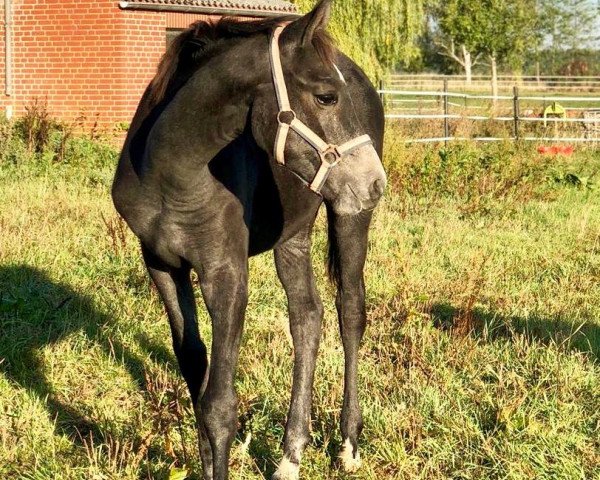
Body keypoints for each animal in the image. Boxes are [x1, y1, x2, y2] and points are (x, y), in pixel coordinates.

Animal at [110, 1, 386, 478]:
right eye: (326, 96)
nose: (375, 182)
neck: (170, 173)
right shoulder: (162, 265)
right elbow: (194, 366)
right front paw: (206, 462)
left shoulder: (226, 275)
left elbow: (220, 403)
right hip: (293, 235)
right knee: (307, 317)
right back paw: (291, 455)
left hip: (349, 217)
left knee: (350, 310)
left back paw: (348, 444)